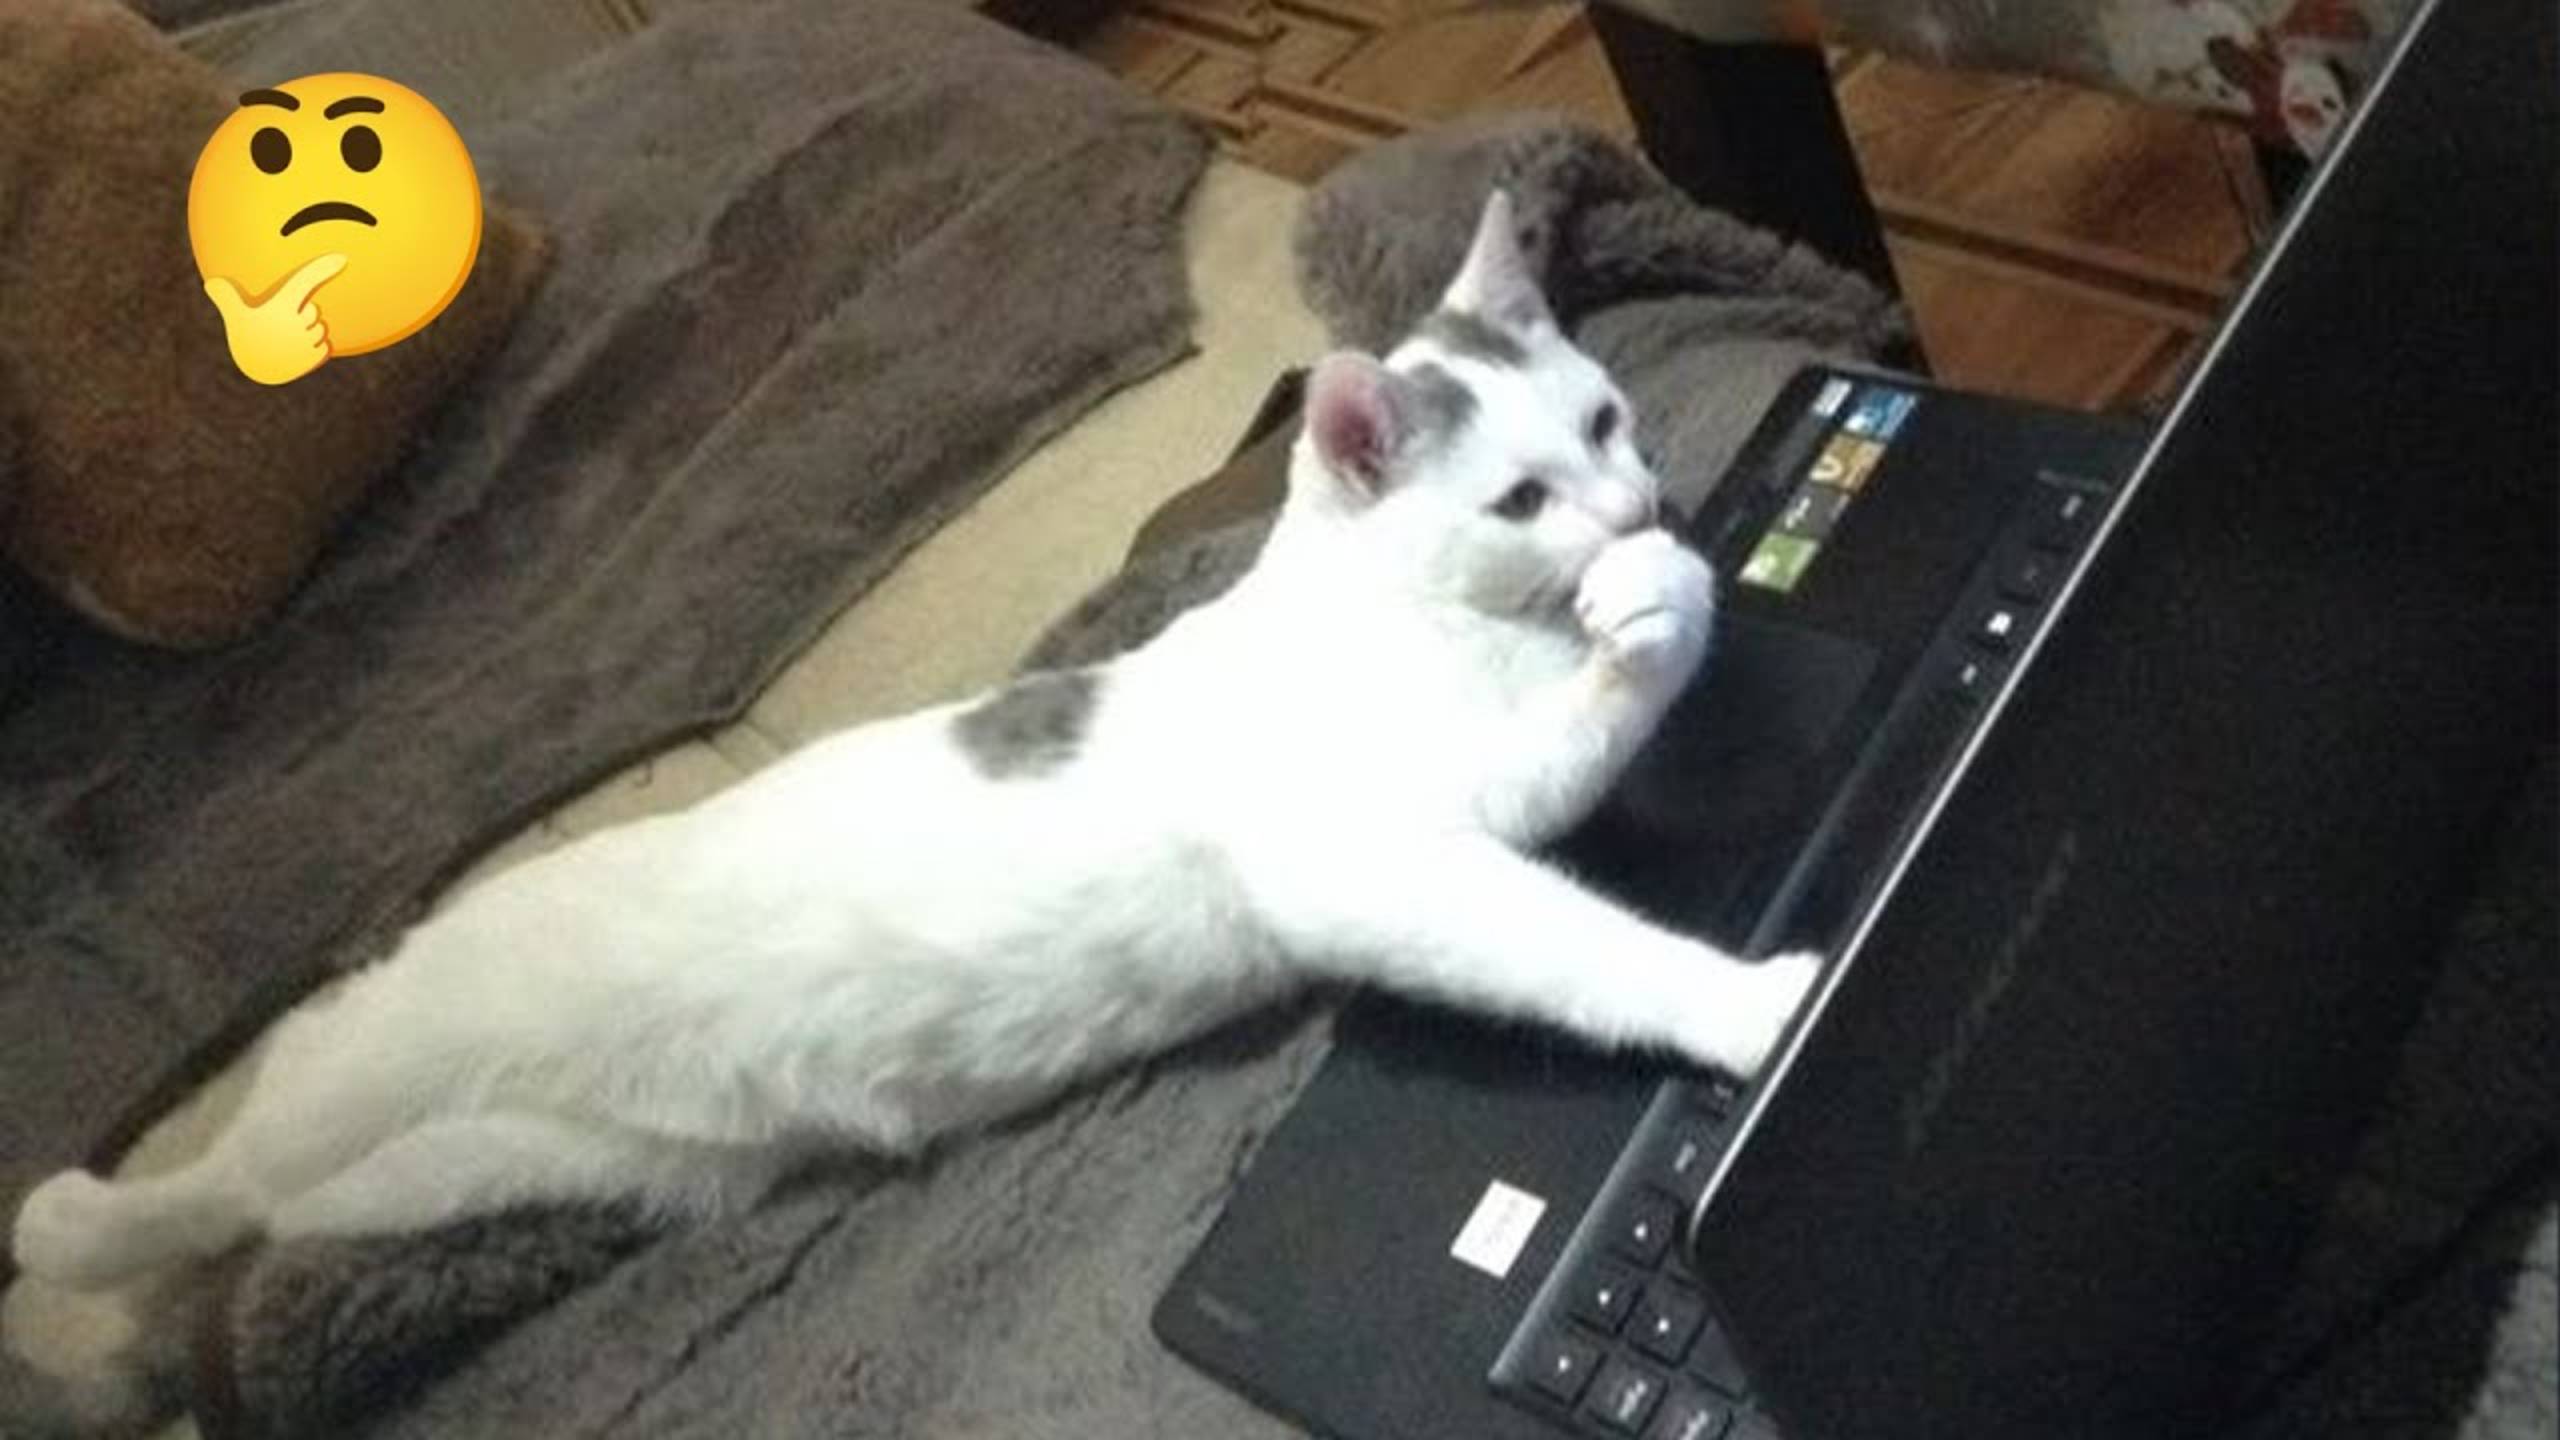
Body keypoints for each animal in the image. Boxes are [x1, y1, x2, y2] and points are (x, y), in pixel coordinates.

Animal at [11, 191, 1821, 1294]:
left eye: (1603, 420)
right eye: (1519, 496)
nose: (1634, 505)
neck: (1404, 614)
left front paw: (1670, 587)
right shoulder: (1368, 867)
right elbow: (1578, 932)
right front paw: (1750, 1005)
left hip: (533, 1165)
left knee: (278, 1209)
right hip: (389, 1070)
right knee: (235, 1158)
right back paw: (74, 1231)